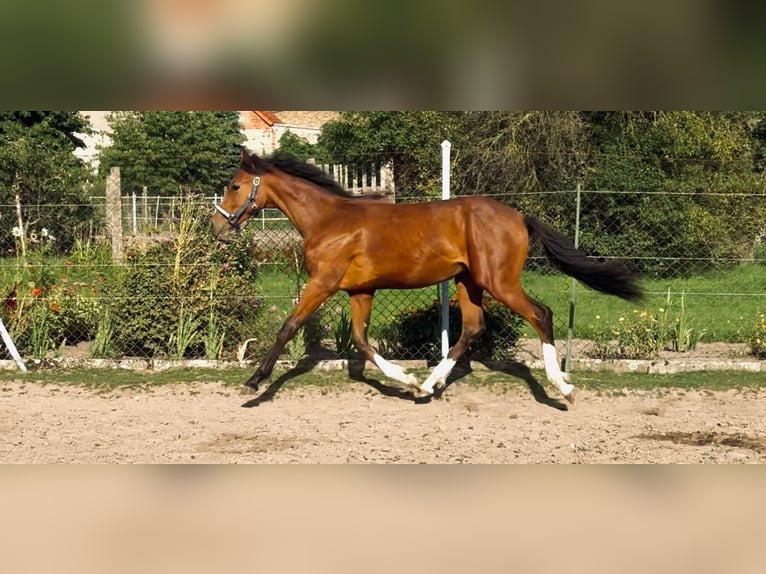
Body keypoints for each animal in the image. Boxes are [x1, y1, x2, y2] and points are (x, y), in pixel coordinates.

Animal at [211, 150, 643, 403]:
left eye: (234, 185)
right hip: (469, 283)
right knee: (473, 327)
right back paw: (431, 383)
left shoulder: (323, 284)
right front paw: (409, 380)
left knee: (541, 314)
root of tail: (519, 217)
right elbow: (361, 342)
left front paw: (254, 382)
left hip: (499, 282)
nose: (217, 227)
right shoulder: (360, 291)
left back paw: (563, 386)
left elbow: (289, 326)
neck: (329, 221)